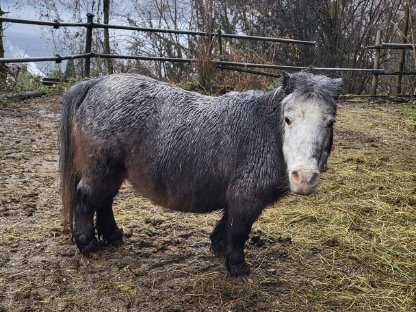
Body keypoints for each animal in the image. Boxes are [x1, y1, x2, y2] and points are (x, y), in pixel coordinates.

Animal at [60, 72, 342, 276]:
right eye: (287, 119)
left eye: (330, 122)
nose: (303, 178)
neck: (266, 132)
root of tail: (96, 83)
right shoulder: (246, 197)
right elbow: (239, 230)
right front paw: (237, 267)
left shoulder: (237, 196)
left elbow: (227, 224)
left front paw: (219, 247)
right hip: (101, 170)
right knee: (87, 200)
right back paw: (88, 244)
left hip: (113, 173)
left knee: (104, 202)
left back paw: (113, 236)